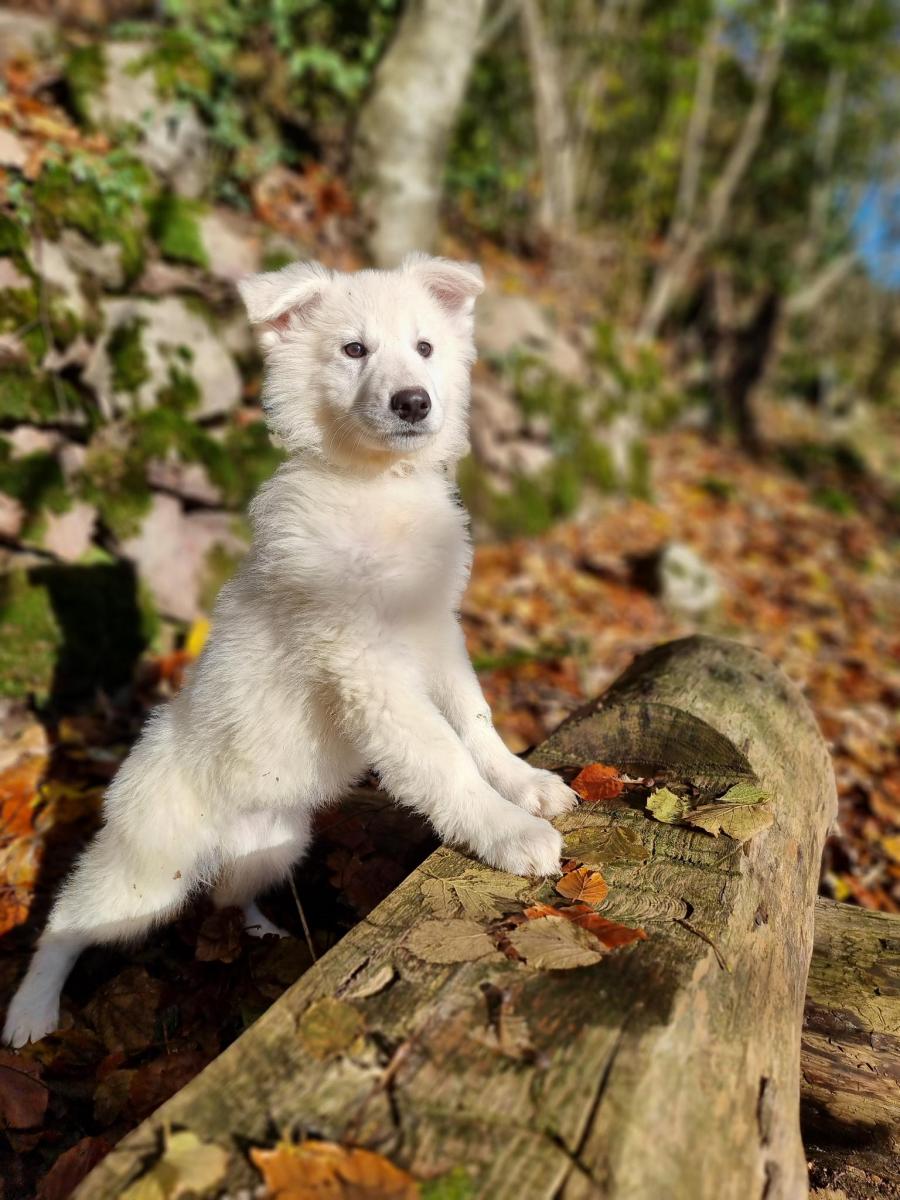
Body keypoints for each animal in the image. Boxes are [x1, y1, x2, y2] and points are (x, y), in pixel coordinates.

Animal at [1, 250, 578, 1041]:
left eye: (426, 347)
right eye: (354, 350)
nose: (413, 402)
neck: (375, 488)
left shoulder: (436, 632)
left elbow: (476, 720)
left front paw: (523, 784)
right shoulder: (367, 664)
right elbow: (441, 756)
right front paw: (506, 830)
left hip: (272, 845)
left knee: (224, 897)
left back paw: (262, 933)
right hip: (142, 873)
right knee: (65, 922)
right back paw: (31, 1011)